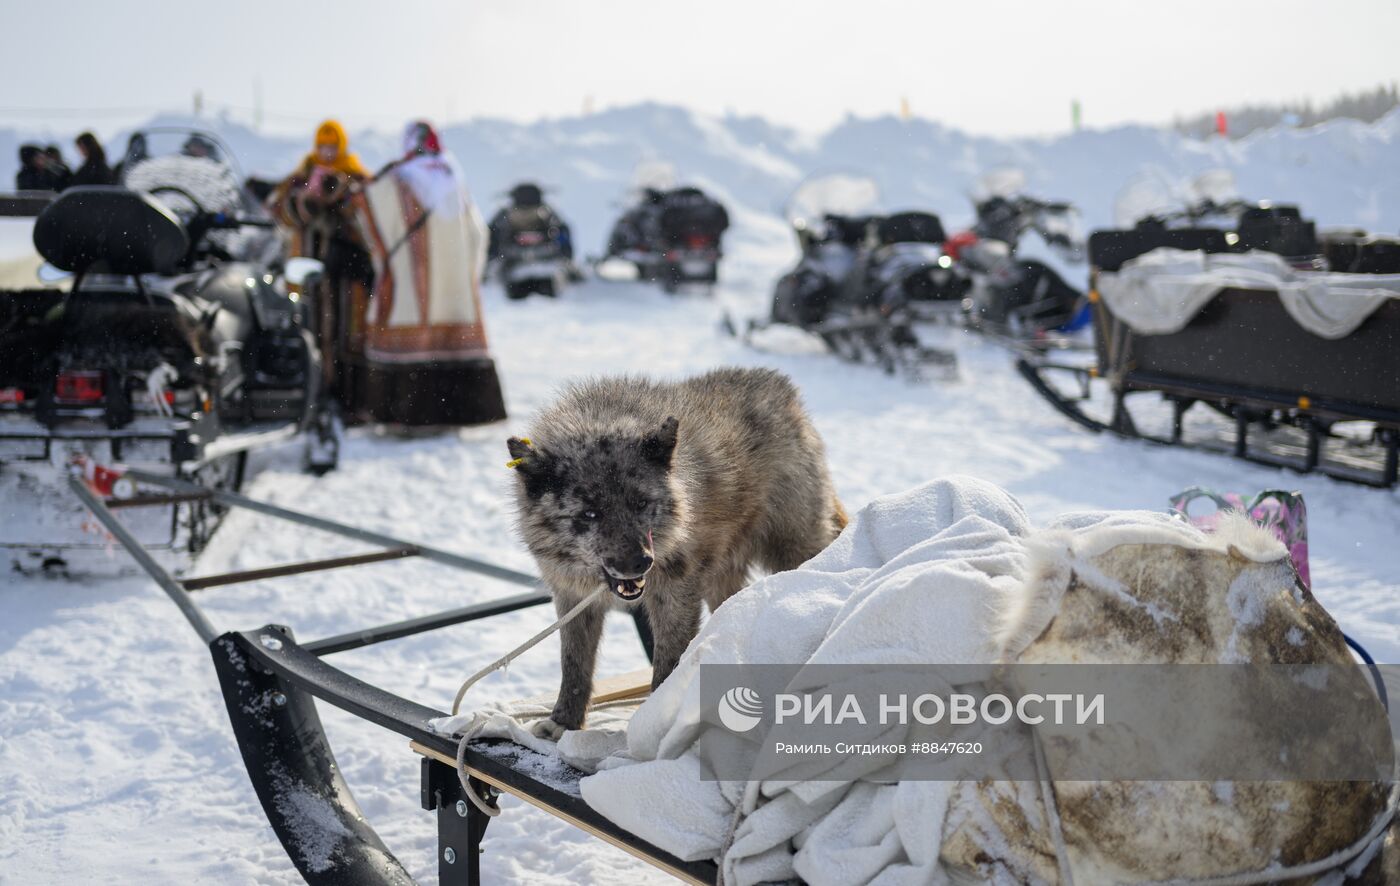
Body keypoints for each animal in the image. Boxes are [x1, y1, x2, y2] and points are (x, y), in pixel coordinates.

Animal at [509, 363, 845, 733]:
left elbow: (668, 664)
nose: (638, 563)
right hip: (720, 580)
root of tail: (782, 387)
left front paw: (654, 726)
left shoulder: (674, 592)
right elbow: (573, 664)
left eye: (641, 503)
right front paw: (563, 723)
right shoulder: (573, 597)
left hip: (793, 548)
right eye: (589, 513)